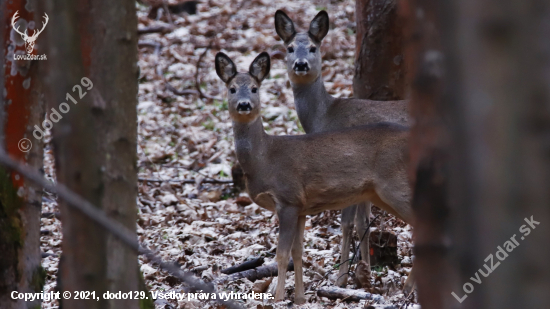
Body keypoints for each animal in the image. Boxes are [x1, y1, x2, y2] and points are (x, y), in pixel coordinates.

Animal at [216, 51, 414, 304]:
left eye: (254, 88)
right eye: (231, 89)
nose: (244, 105)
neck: (265, 158)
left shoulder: (288, 198)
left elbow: (281, 254)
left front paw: (278, 298)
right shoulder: (301, 207)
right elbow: (298, 252)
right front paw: (300, 298)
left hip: (395, 185)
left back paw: (408, 289)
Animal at [276, 9, 414, 288]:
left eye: (314, 47)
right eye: (290, 47)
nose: (300, 64)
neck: (325, 116)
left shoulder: (347, 170)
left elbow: (347, 223)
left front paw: (340, 278)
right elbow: (363, 223)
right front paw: (365, 273)